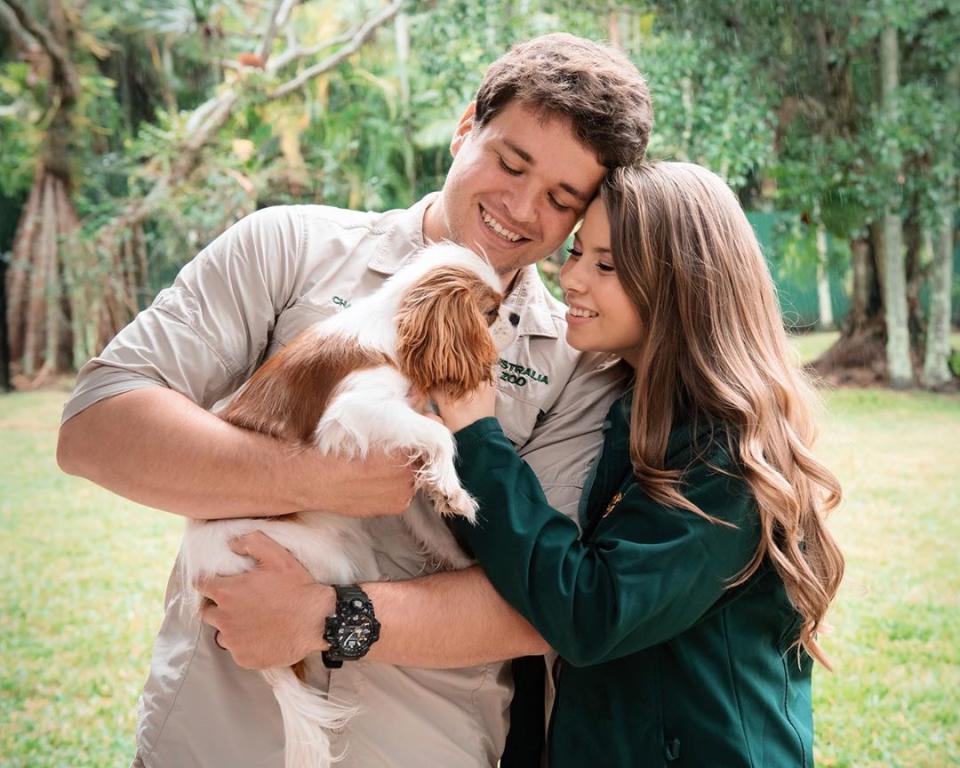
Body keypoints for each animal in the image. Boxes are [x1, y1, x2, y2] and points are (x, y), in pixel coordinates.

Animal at [176, 243, 512, 768]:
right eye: (493, 311)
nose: (514, 314)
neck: (395, 327)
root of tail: (204, 582)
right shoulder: (355, 412)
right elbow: (438, 434)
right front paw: (454, 490)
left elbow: (425, 513)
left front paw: (454, 540)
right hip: (317, 553)